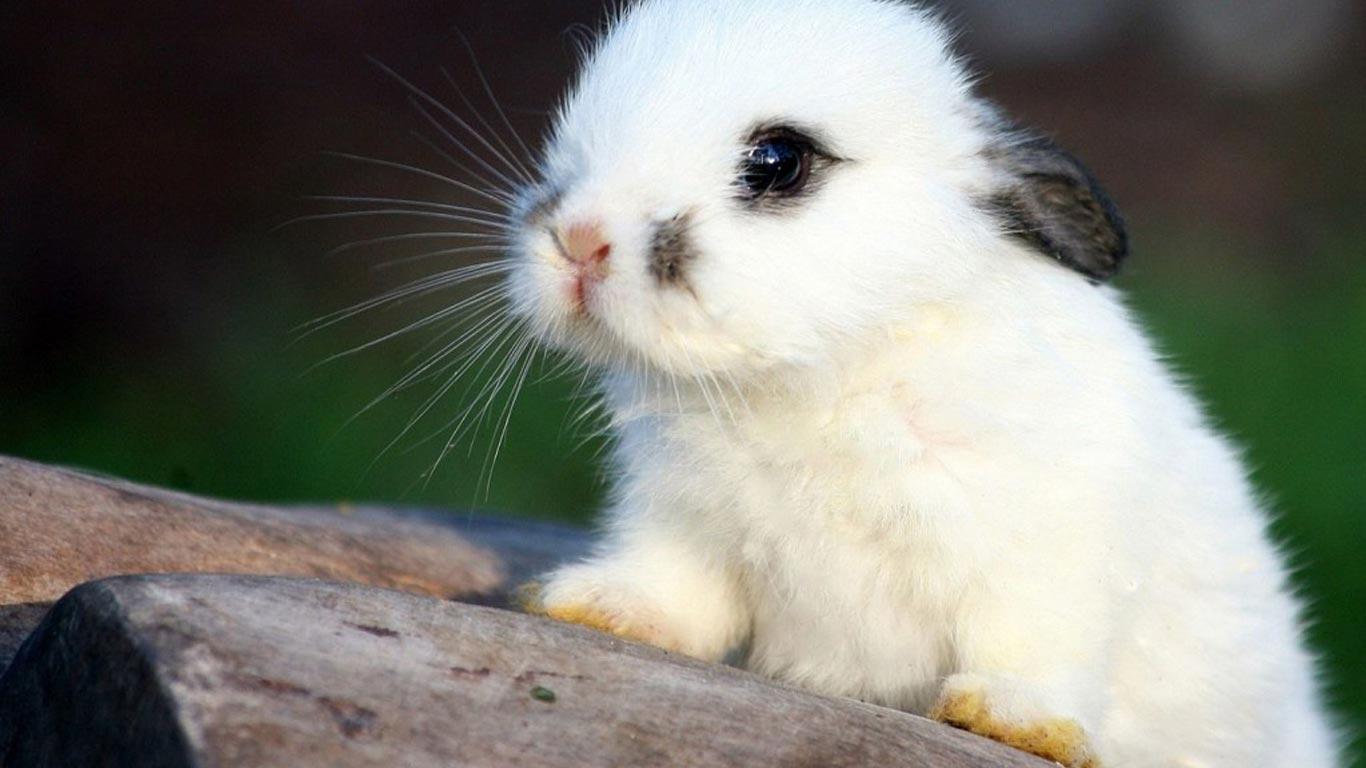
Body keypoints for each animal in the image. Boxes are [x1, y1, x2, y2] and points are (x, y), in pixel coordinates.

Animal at [501, 0, 1341, 765]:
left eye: (778, 161)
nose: (579, 240)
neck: (823, 376)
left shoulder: (1046, 552)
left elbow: (1033, 641)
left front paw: (1010, 719)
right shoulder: (683, 525)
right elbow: (676, 595)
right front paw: (591, 605)